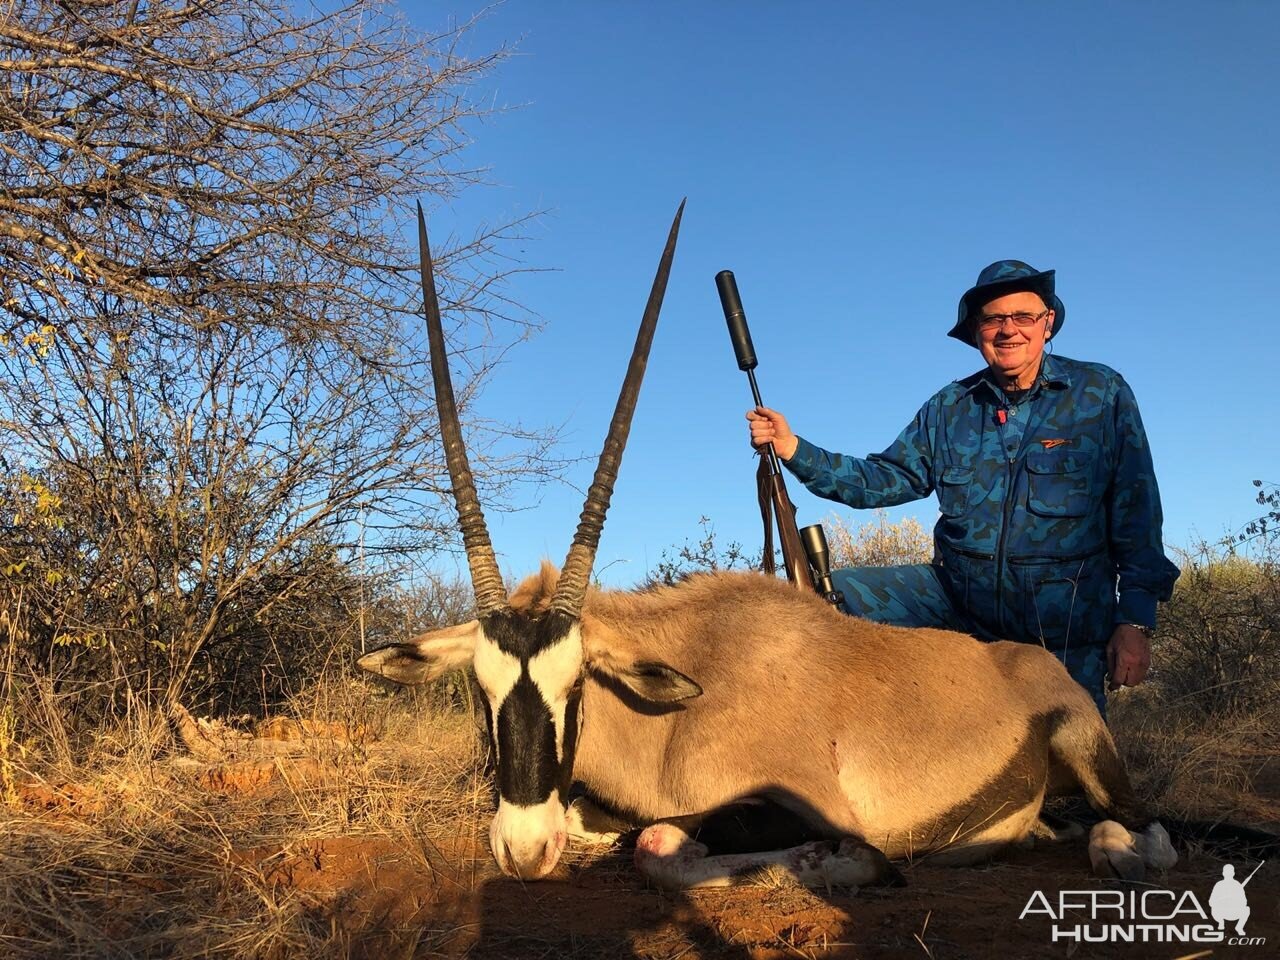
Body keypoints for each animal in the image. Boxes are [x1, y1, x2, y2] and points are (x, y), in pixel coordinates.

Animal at [355, 204, 1172, 896]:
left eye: (576, 687)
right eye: (480, 689)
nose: (524, 851)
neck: (685, 698)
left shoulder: (797, 800)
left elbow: (661, 849)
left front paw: (837, 864)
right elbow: (614, 831)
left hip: (1088, 742)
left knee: (1145, 827)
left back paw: (1114, 849)